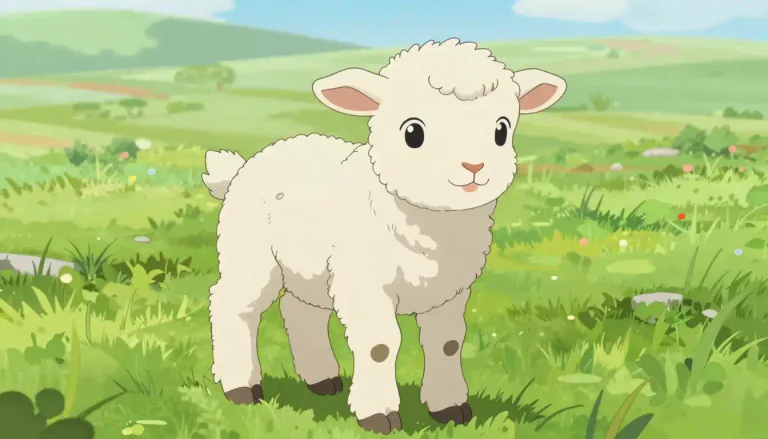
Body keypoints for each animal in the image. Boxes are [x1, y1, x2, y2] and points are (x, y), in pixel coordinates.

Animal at [202, 37, 566, 435]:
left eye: (501, 130)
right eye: (413, 133)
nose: (474, 167)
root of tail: (242, 167)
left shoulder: (450, 291)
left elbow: (447, 344)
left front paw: (450, 407)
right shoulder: (364, 284)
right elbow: (380, 346)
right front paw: (378, 415)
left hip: (311, 268)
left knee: (299, 312)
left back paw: (321, 380)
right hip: (250, 253)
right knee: (234, 306)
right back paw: (242, 387)